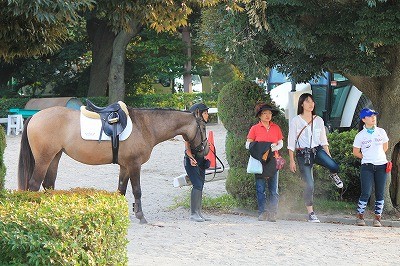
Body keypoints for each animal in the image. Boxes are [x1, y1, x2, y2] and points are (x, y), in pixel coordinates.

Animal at [17, 106, 208, 222]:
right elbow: (137, 190)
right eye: (204, 128)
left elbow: (121, 190)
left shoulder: (125, 166)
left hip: (55, 157)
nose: (204, 151)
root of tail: (35, 116)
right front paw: (140, 216)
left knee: (48, 184)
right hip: (44, 159)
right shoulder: (134, 165)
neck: (145, 126)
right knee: (34, 185)